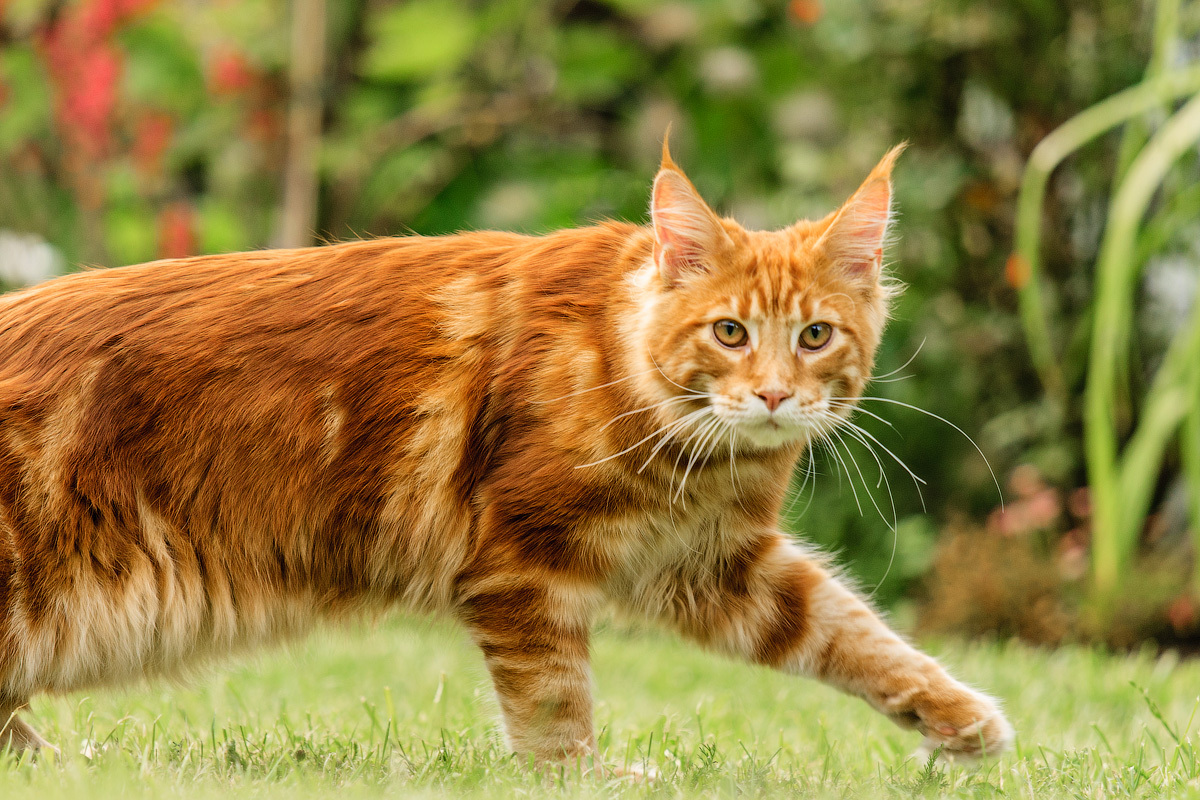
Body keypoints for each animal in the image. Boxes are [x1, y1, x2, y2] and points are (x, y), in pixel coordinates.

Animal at [0, 142, 1012, 762]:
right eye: (729, 332)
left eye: (813, 337)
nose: (771, 394)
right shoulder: (523, 568)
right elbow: (557, 710)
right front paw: (584, 779)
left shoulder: (719, 567)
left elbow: (855, 632)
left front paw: (962, 721)